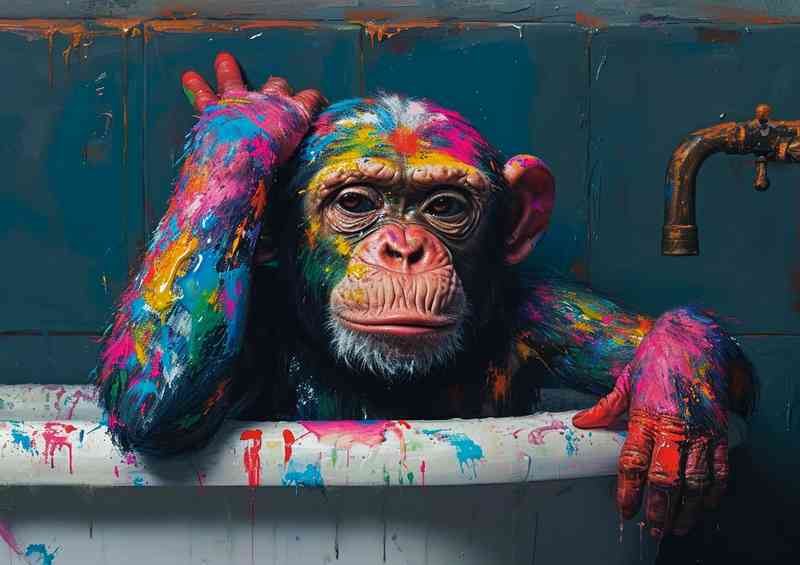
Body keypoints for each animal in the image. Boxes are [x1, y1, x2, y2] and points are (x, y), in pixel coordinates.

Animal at [95, 53, 755, 539]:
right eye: (356, 202)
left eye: (444, 207)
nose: (406, 249)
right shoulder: (255, 324)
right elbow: (157, 391)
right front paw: (246, 117)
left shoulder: (545, 307)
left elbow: (681, 356)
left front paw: (672, 391)